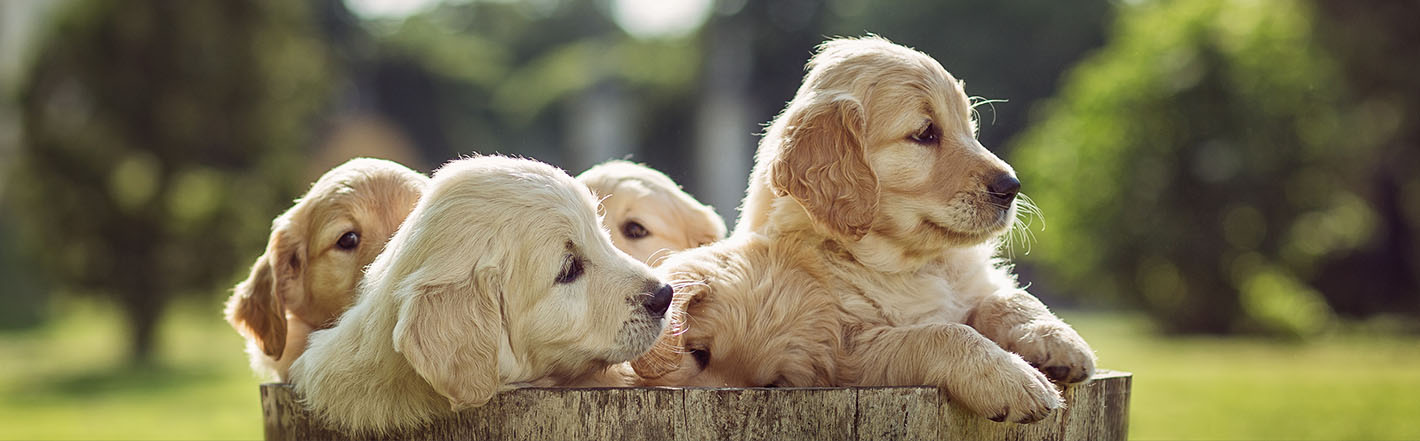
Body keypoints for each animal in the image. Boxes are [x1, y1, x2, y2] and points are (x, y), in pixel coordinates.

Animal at [636, 37, 1096, 425]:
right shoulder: (844, 350)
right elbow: (942, 333)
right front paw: (1015, 380)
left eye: (969, 128)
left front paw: (1059, 340)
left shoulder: (966, 289)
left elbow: (1006, 299)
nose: (1011, 186)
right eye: (925, 133)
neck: (909, 265)